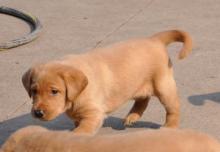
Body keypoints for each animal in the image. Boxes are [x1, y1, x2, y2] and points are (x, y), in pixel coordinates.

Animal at [22, 30, 192, 134]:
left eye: (54, 91)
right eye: (34, 91)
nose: (38, 113)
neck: (75, 97)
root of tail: (154, 39)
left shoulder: (93, 114)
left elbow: (81, 131)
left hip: (163, 86)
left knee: (173, 107)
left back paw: (170, 127)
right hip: (139, 84)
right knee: (143, 99)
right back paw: (132, 116)